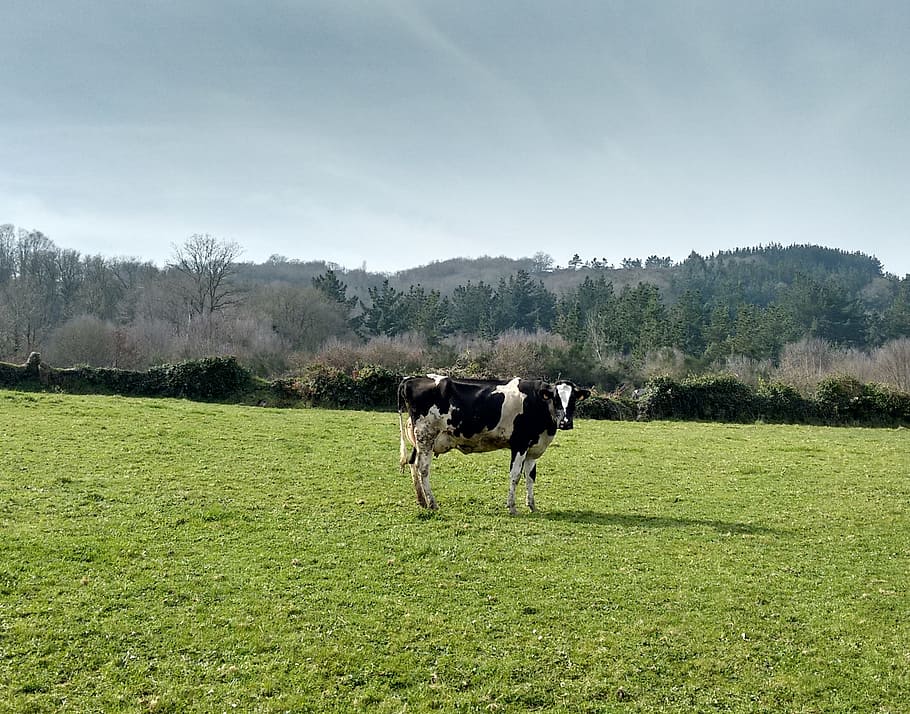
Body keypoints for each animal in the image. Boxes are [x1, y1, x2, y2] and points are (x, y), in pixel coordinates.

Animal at [397, 374, 590, 514]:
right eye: (555, 399)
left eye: (573, 399)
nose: (565, 423)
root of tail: (412, 379)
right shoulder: (519, 444)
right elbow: (515, 475)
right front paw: (512, 507)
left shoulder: (533, 449)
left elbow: (530, 477)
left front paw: (532, 505)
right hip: (426, 435)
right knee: (423, 468)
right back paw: (432, 503)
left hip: (420, 440)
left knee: (413, 463)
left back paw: (422, 500)